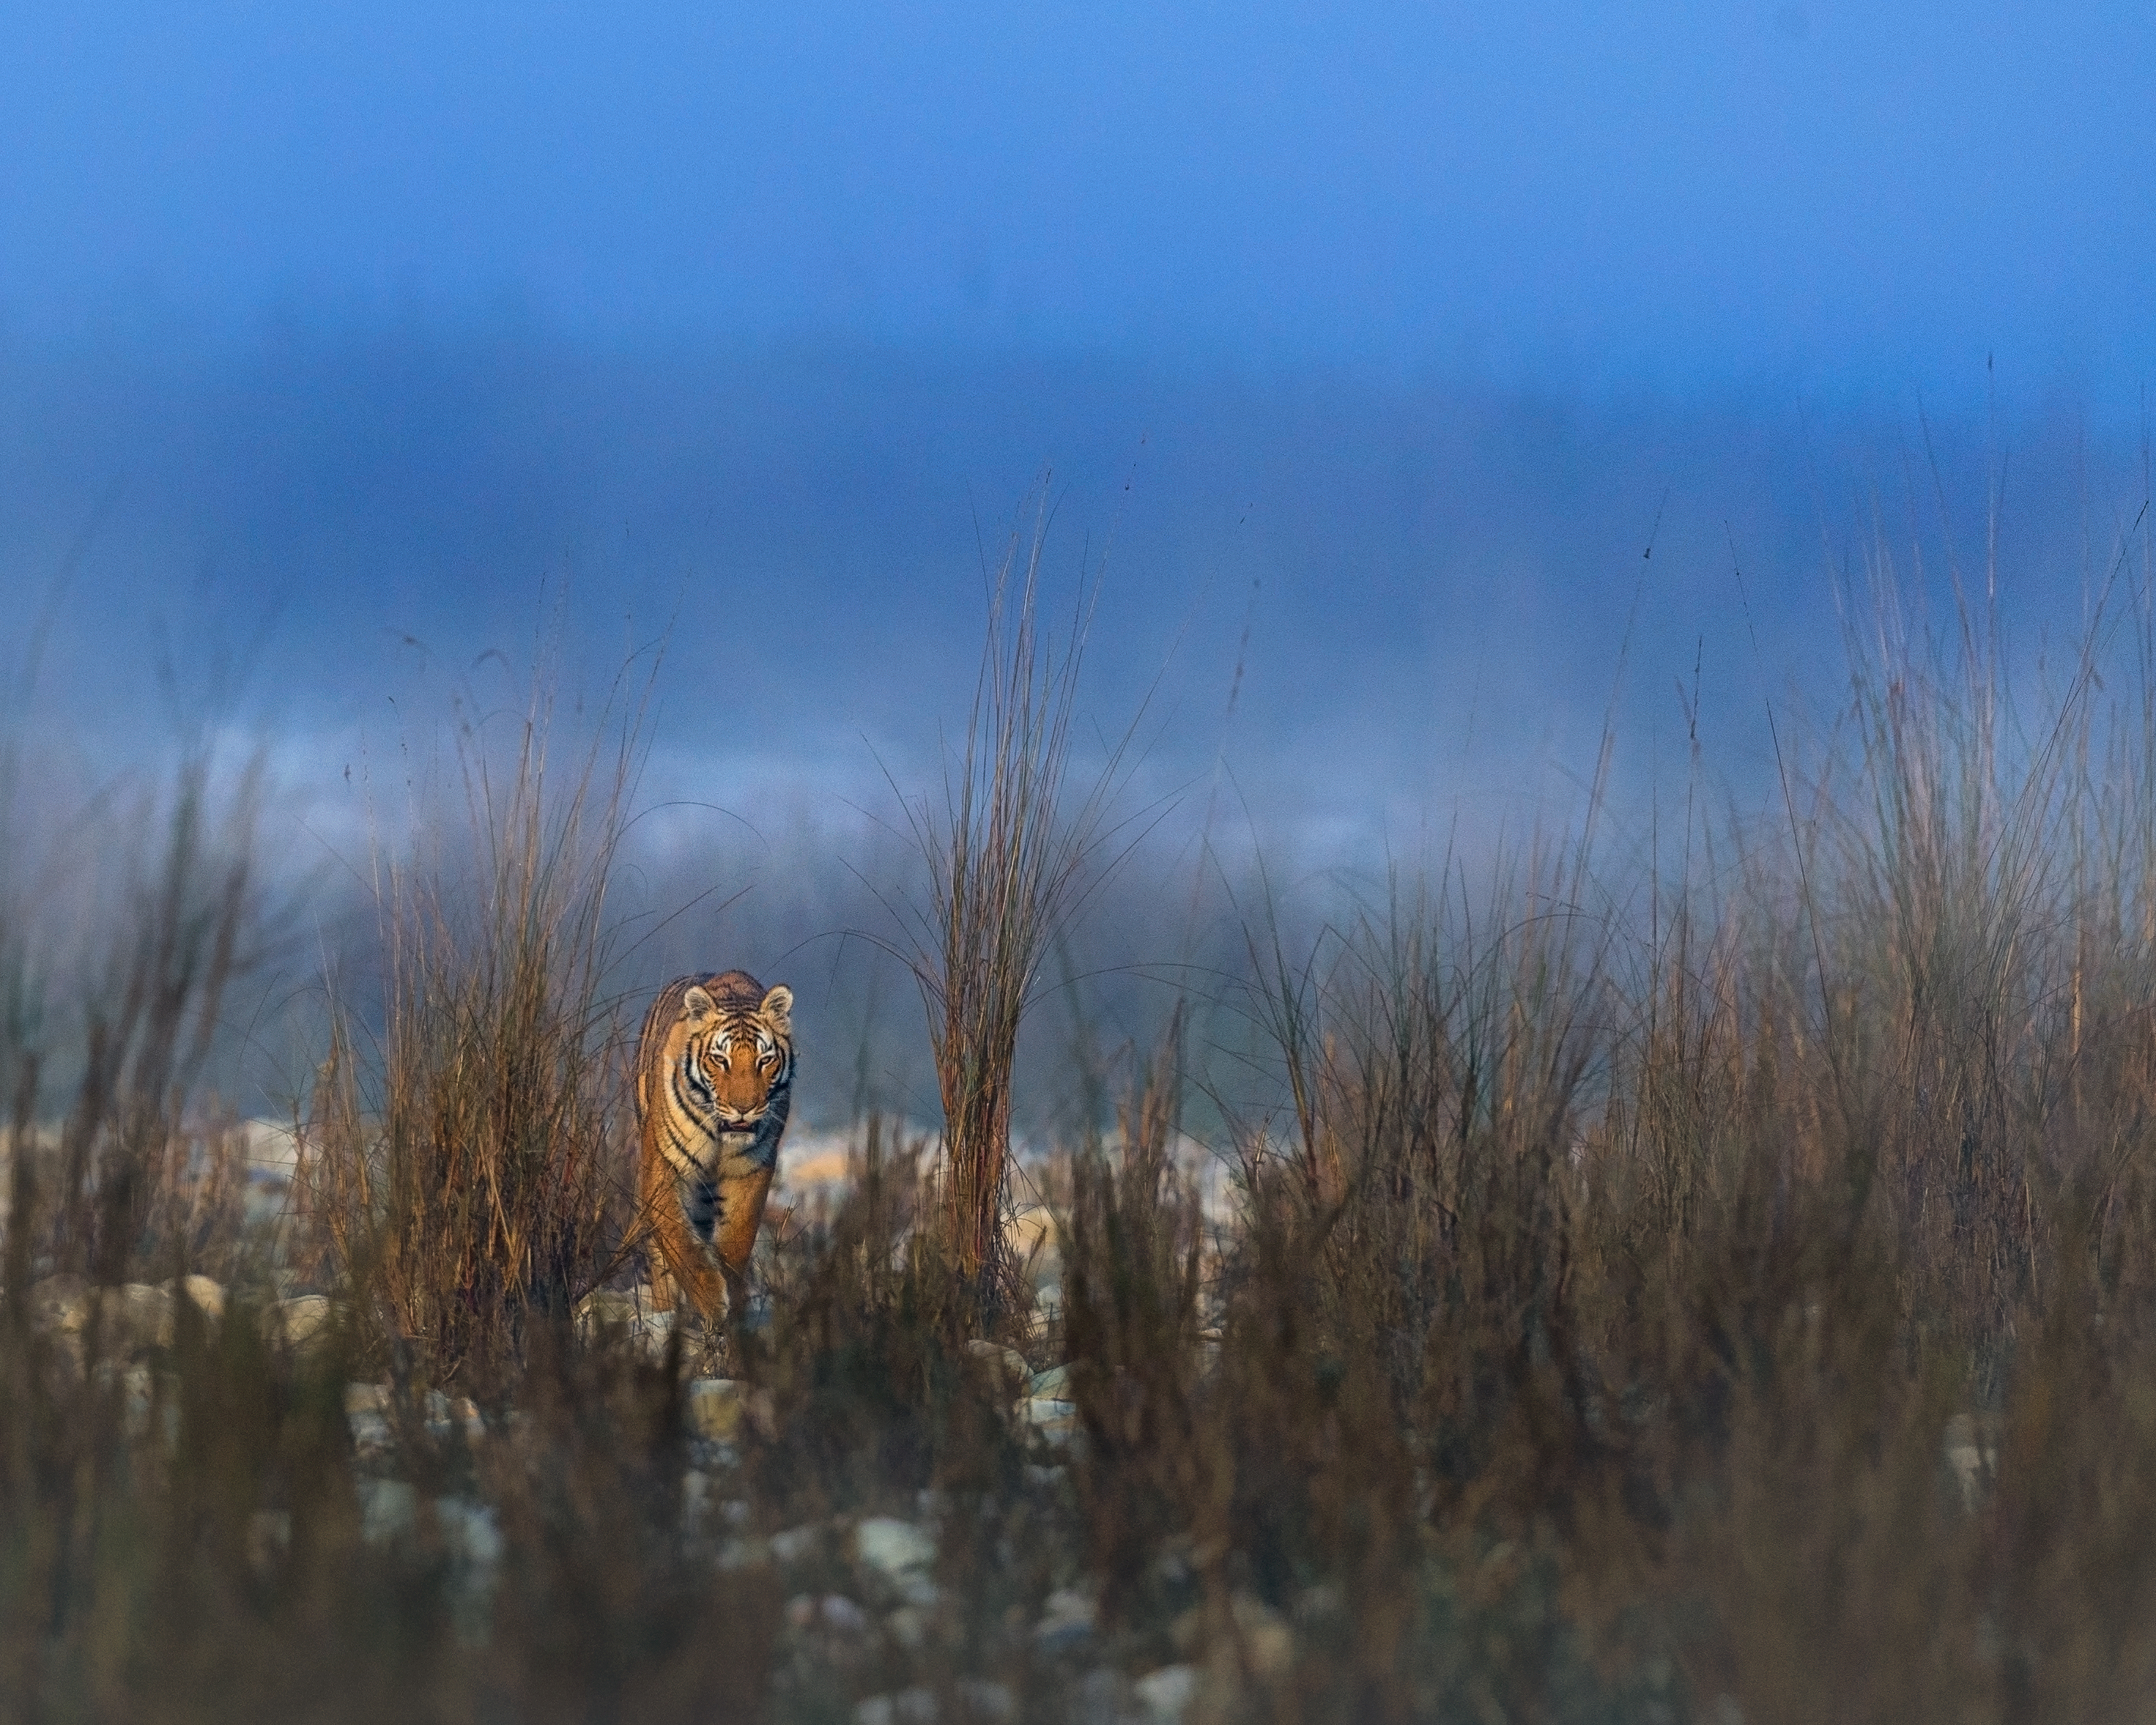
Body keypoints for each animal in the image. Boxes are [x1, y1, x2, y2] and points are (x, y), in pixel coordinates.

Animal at [633, 969, 796, 1325]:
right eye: (720, 1060)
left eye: (765, 1060)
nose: (744, 1108)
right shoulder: (664, 1168)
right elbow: (680, 1241)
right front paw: (712, 1301)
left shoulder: (751, 1170)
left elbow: (736, 1242)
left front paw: (733, 1305)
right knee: (660, 1260)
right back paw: (665, 1316)